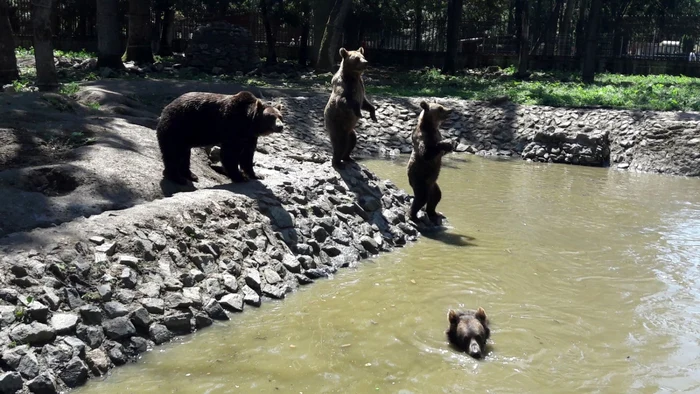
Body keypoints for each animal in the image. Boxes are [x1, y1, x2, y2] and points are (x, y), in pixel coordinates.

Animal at [156, 91, 284, 185]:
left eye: (280, 116)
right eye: (271, 117)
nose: (280, 126)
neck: (249, 122)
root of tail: (165, 109)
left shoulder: (250, 136)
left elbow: (247, 155)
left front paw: (256, 175)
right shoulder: (233, 128)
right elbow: (230, 153)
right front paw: (240, 177)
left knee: (184, 154)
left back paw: (190, 175)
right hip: (178, 127)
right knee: (173, 152)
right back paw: (178, 178)